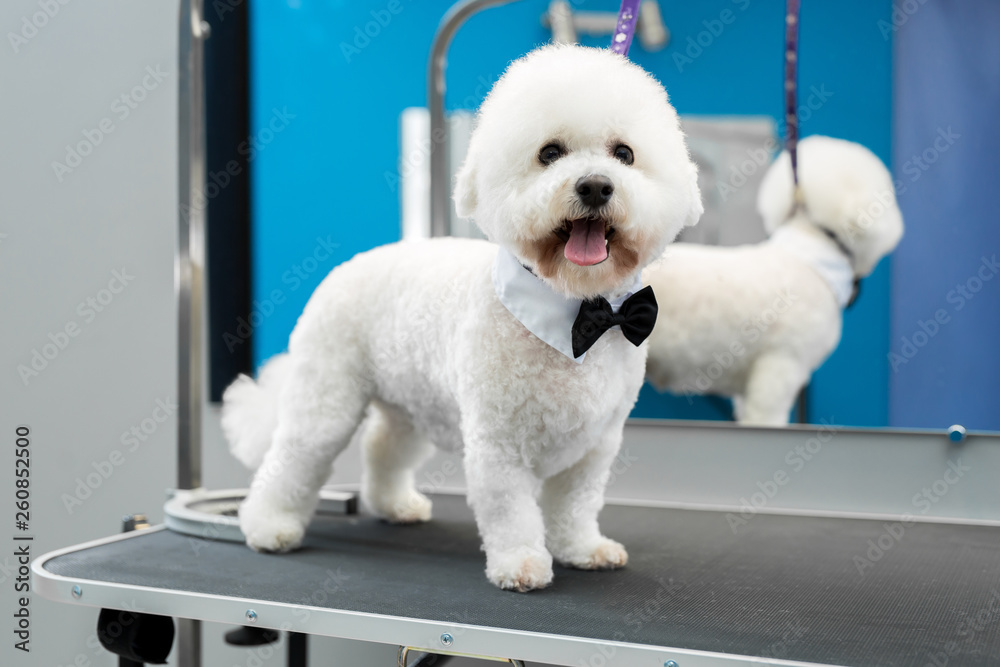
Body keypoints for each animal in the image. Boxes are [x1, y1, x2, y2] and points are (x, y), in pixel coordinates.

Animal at [222, 44, 700, 592]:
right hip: (326, 398)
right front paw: (521, 564)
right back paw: (269, 525)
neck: (577, 312)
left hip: (411, 400)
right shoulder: (499, 442)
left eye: (624, 154)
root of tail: (346, 266)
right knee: (293, 458)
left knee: (384, 446)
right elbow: (511, 510)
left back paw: (394, 504)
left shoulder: (593, 446)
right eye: (549, 153)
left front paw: (582, 549)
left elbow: (576, 506)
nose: (596, 186)